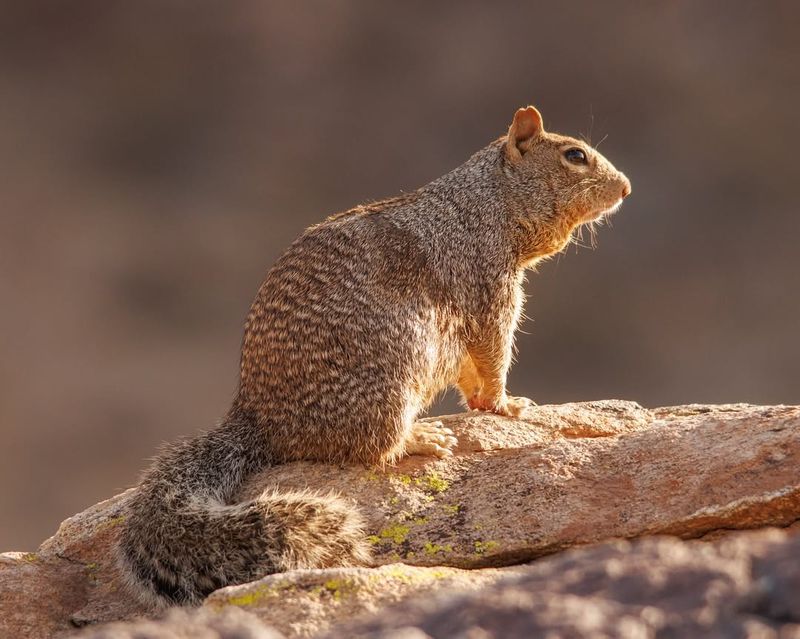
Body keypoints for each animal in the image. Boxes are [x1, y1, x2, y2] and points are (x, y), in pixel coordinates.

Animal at [119, 105, 632, 604]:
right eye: (575, 155)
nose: (626, 187)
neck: (485, 205)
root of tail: (259, 419)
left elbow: (470, 366)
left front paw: (483, 402)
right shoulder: (490, 288)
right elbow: (492, 353)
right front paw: (504, 403)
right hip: (393, 378)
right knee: (371, 450)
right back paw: (421, 437)